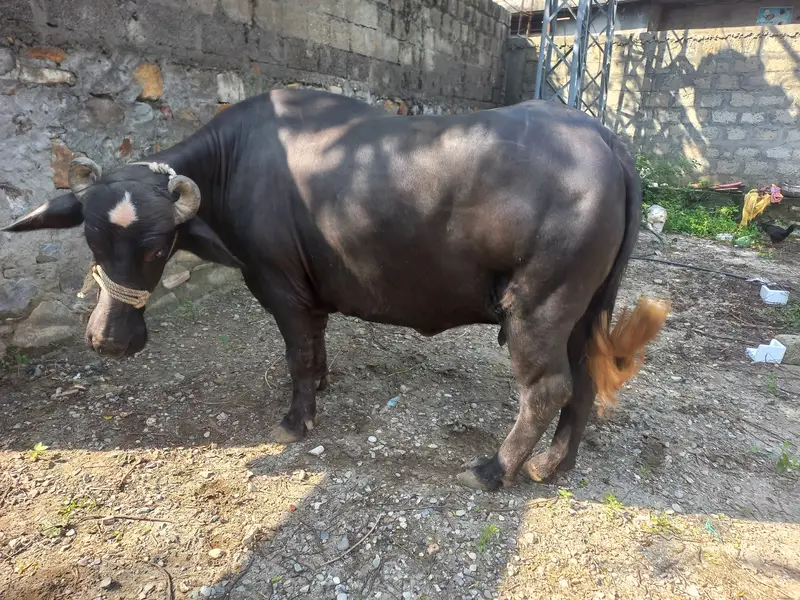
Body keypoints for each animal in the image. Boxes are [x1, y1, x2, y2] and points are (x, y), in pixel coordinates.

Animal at [2, 89, 669, 491]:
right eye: (91, 238)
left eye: (156, 245)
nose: (110, 342)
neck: (234, 162)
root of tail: (604, 140)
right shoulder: (309, 289)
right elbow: (315, 345)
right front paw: (322, 384)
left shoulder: (276, 284)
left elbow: (296, 352)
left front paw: (296, 419)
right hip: (587, 307)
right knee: (584, 377)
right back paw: (555, 463)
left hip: (539, 306)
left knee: (547, 387)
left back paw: (495, 468)